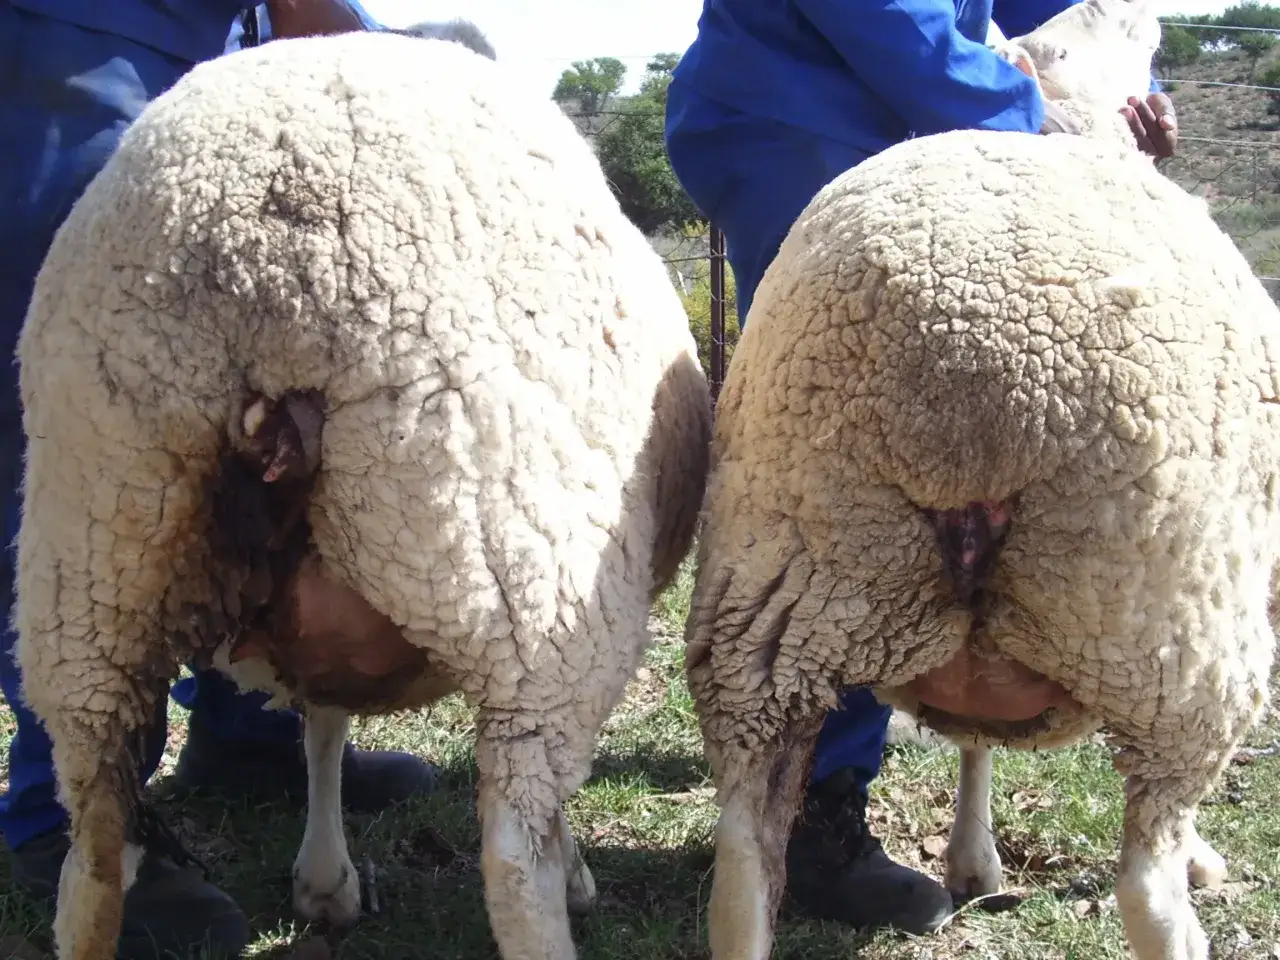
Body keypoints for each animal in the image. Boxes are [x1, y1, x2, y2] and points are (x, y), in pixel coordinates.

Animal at [13, 27, 711, 960]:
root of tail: (258, 260)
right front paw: (577, 874)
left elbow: (322, 721)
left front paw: (323, 881)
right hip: (527, 588)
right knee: (514, 846)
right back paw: (552, 887)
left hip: (95, 558)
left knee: (89, 851)